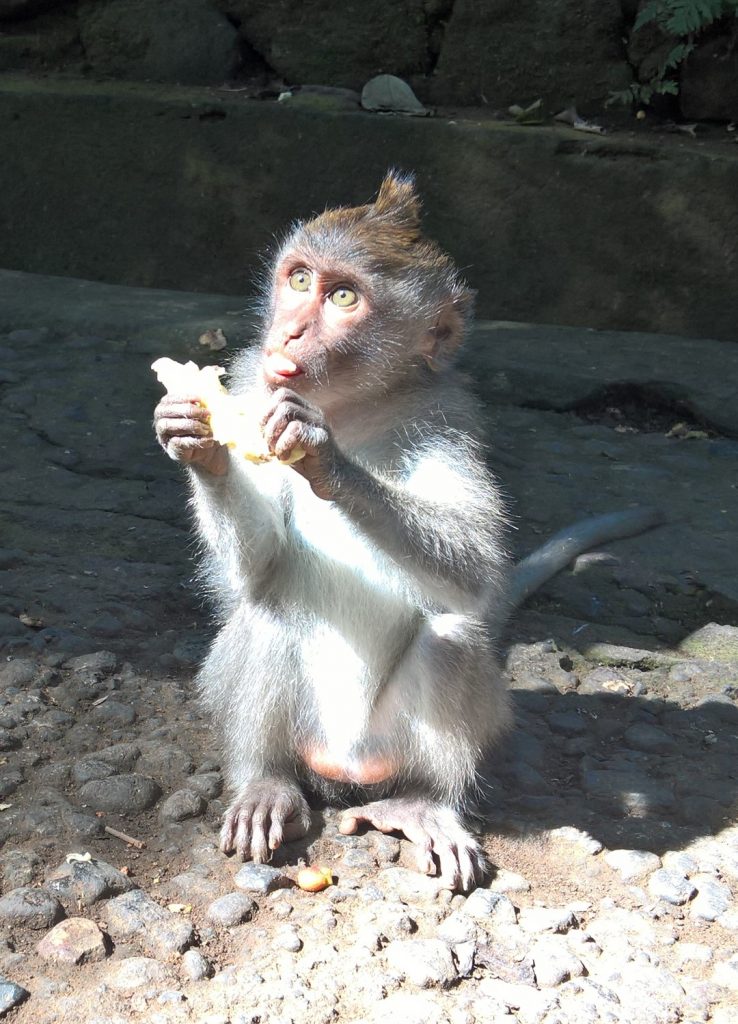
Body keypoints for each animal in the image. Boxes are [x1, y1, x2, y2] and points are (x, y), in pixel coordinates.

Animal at [153, 174, 655, 888]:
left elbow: (477, 570)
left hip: (395, 741)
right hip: (305, 737)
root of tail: (341, 770)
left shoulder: (448, 418)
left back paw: (424, 803)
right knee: (267, 612)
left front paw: (325, 457)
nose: (289, 334)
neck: (356, 408)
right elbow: (252, 577)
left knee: (452, 636)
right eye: (299, 279)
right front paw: (196, 437)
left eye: (342, 297)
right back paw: (265, 782)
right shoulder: (254, 377)